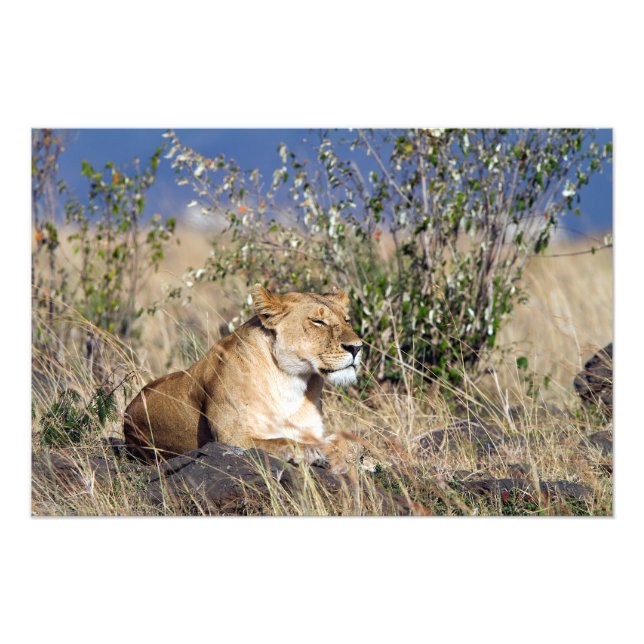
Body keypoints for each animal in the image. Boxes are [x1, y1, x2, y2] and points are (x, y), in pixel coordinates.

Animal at [123, 284, 363, 469]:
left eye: (347, 320)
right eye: (318, 322)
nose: (357, 348)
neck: (291, 381)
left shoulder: (312, 431)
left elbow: (346, 441)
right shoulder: (231, 439)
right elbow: (280, 441)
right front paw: (309, 453)